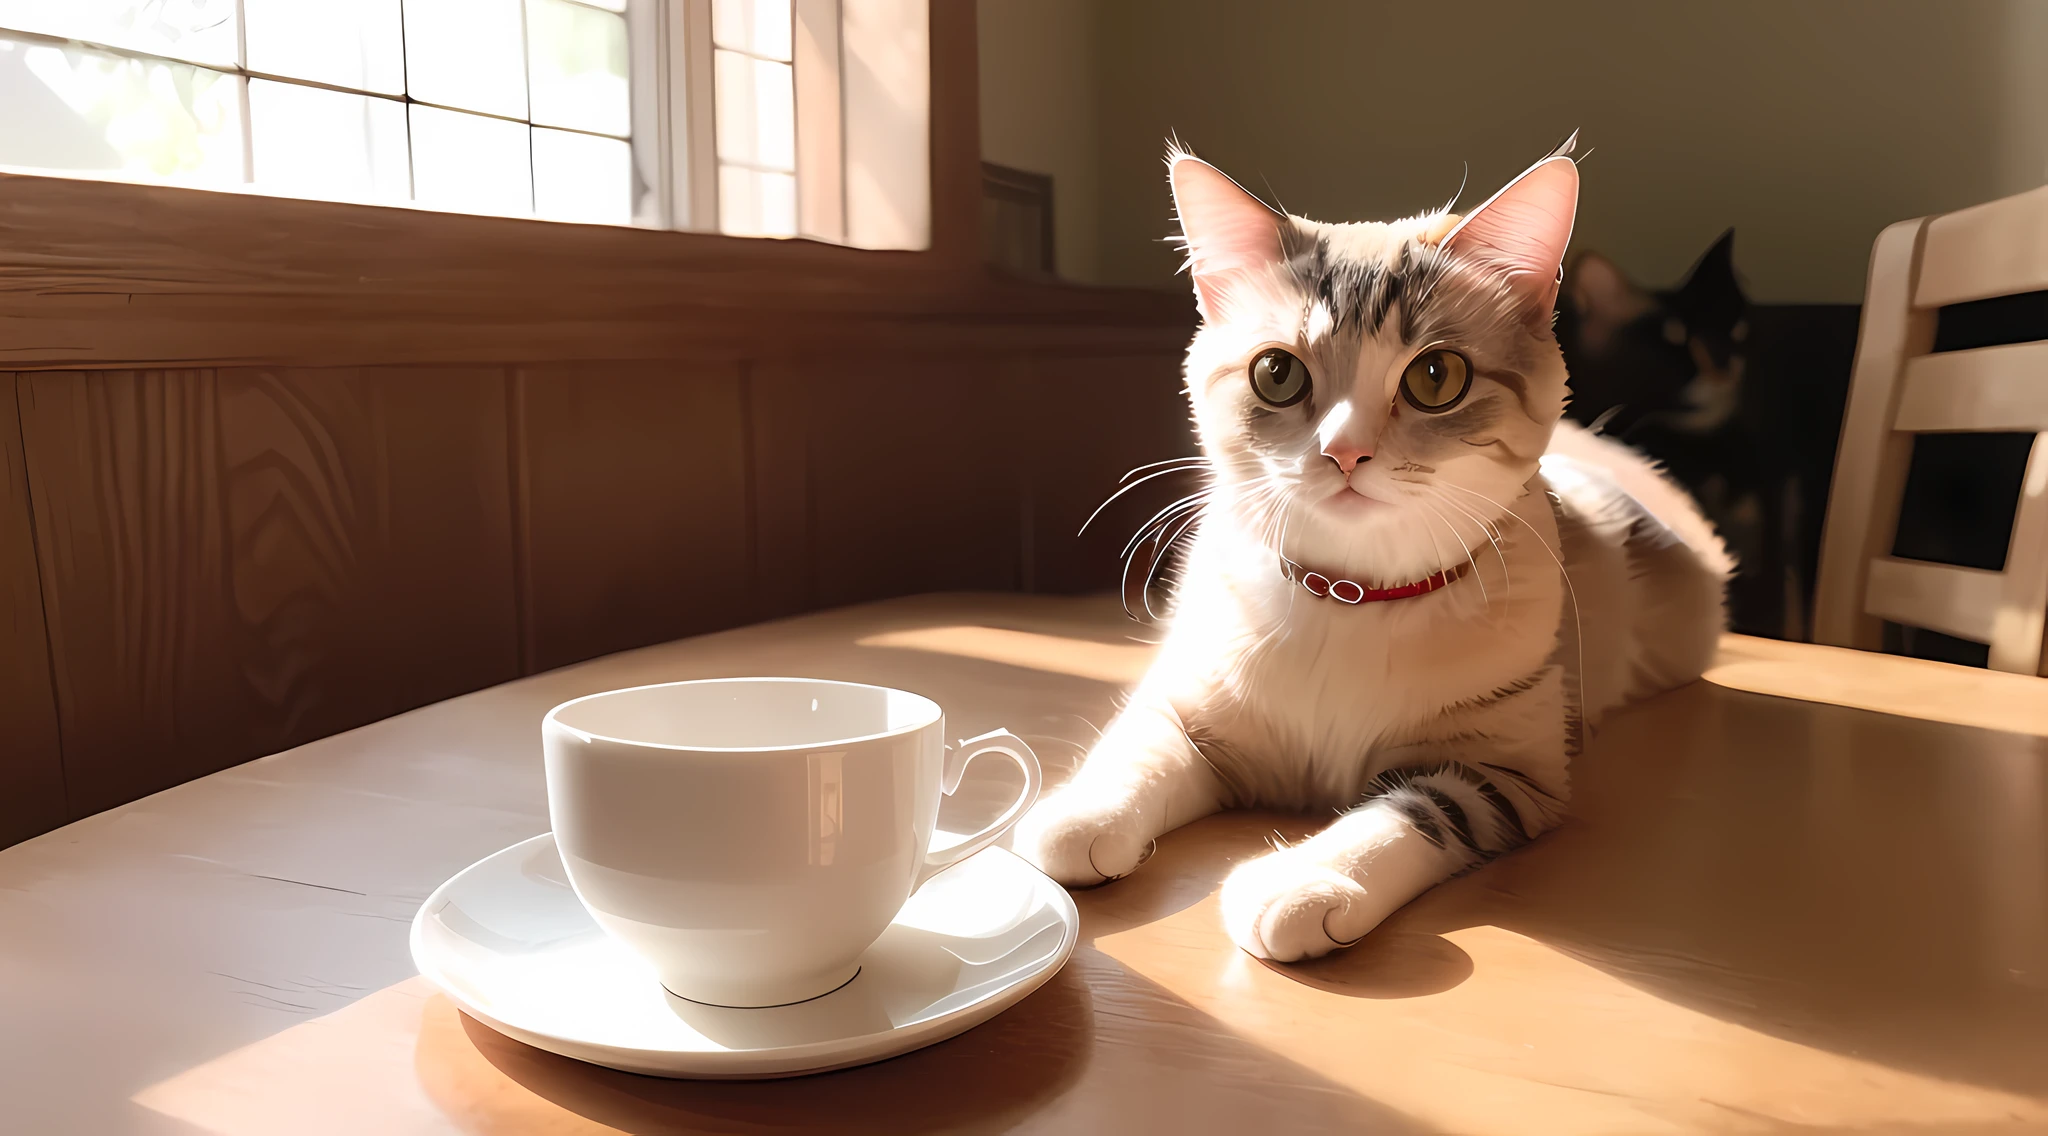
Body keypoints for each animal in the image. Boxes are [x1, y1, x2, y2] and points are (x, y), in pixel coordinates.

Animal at [1007, 138, 1728, 966]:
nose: (1343, 451)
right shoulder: (1193, 698)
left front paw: (1304, 883)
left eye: (1436, 377)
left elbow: (1413, 813)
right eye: (1277, 372)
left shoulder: (1506, 769)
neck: (1350, 599)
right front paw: (1082, 817)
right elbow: (1143, 746)